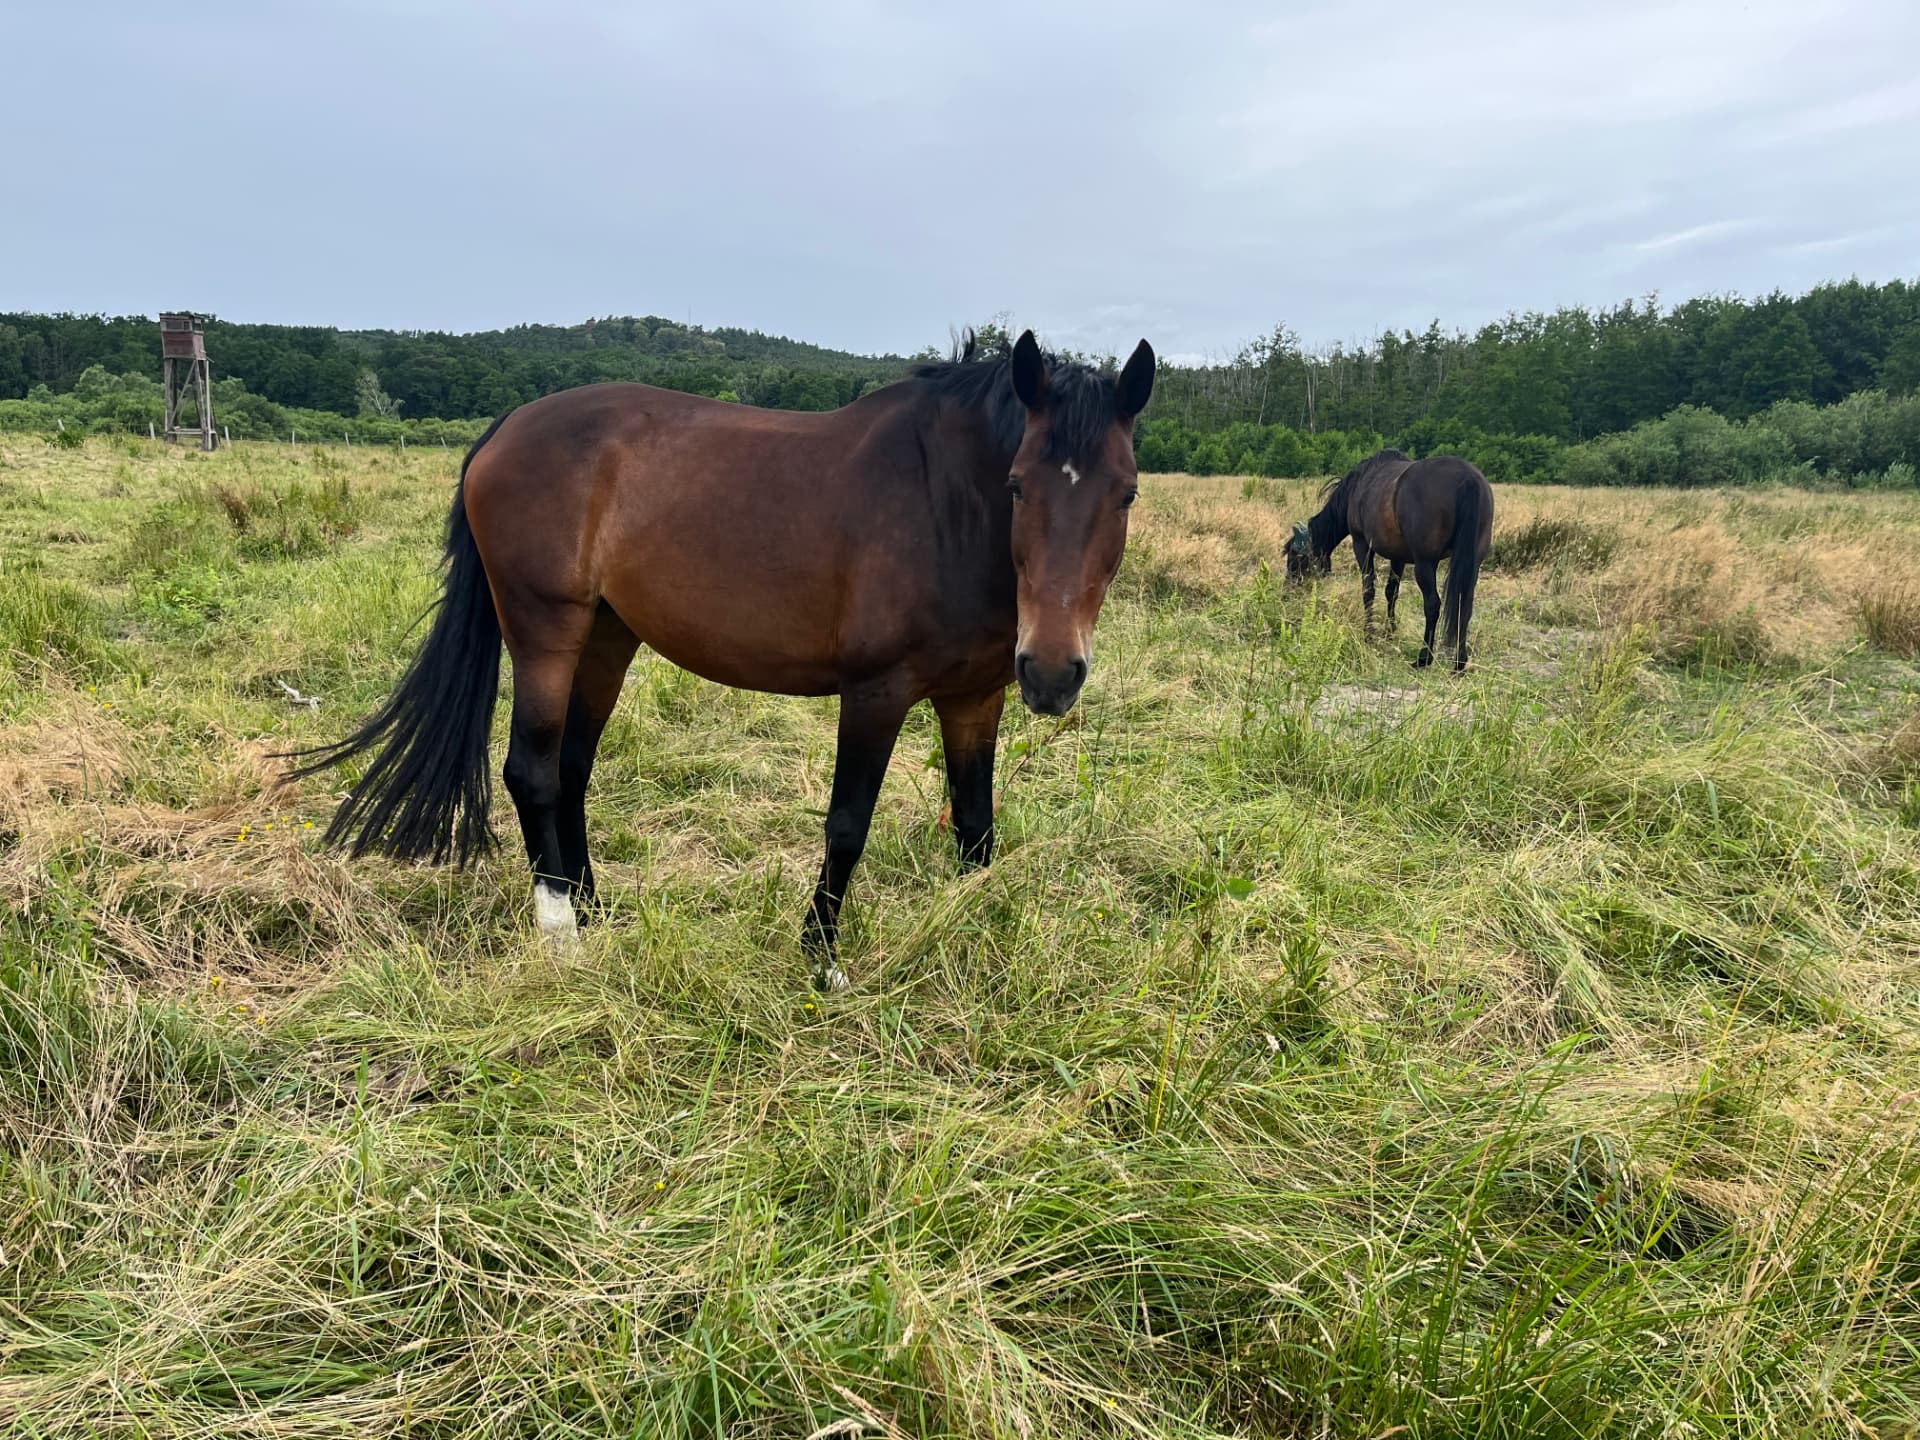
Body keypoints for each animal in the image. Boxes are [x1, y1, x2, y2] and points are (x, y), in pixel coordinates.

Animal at [283, 330, 1156, 991]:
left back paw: (594, 910)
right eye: (1017, 486)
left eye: (1127, 494)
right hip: (545, 629)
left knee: (570, 768)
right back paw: (562, 931)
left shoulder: (976, 698)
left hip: (608, 637)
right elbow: (848, 824)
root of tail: (507, 429)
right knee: (530, 770)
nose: (1054, 672)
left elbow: (976, 827)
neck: (944, 504)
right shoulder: (875, 692)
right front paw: (821, 959)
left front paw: (976, 939)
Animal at [1285, 449, 1493, 671]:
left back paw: (1424, 657)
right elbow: (1391, 592)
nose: (1287, 592)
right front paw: (1390, 631)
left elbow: (1368, 590)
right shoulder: (1398, 556)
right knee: (1465, 605)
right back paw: (1459, 662)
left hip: (1425, 564)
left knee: (1432, 605)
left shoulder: (1361, 544)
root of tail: (1468, 478)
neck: (1358, 486)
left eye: (1294, 557)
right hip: (1472, 565)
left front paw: (1369, 634)